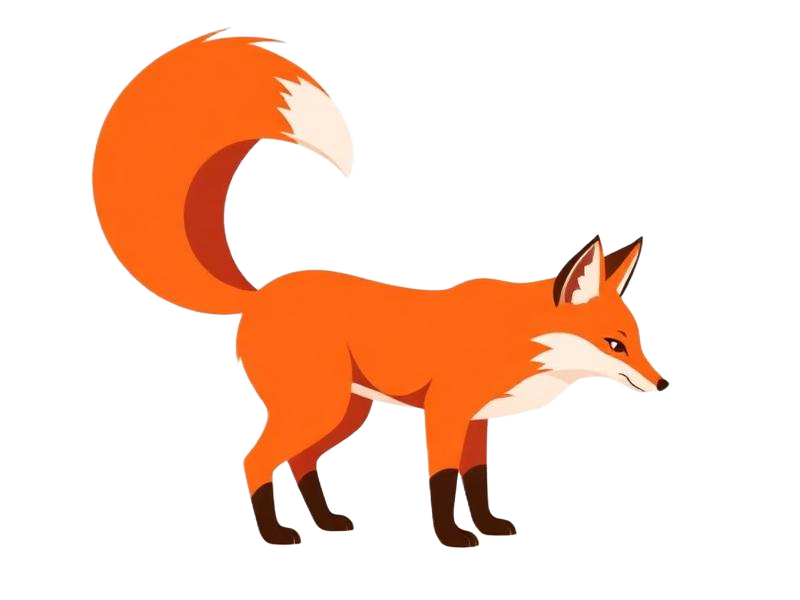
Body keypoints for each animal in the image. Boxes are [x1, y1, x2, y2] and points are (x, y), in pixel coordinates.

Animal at [92, 30, 668, 548]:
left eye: (637, 340)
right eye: (614, 343)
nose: (663, 384)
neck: (514, 336)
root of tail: (260, 292)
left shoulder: (477, 424)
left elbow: (477, 483)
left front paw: (488, 527)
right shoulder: (445, 413)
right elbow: (442, 483)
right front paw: (451, 538)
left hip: (344, 413)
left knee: (300, 461)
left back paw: (326, 523)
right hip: (318, 409)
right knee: (255, 460)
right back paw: (275, 533)